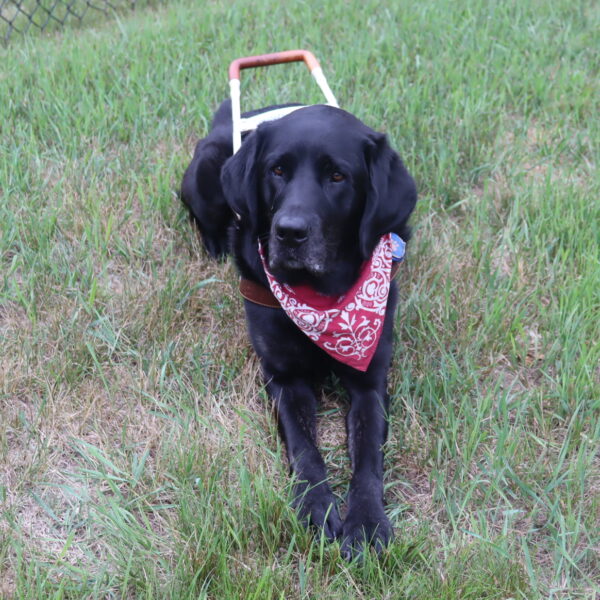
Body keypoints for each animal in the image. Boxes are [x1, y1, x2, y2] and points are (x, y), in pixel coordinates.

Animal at [180, 99, 414, 556]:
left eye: (338, 176)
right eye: (277, 170)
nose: (289, 232)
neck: (323, 298)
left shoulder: (371, 379)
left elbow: (367, 456)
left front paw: (366, 521)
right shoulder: (283, 378)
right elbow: (304, 446)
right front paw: (316, 506)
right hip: (204, 172)